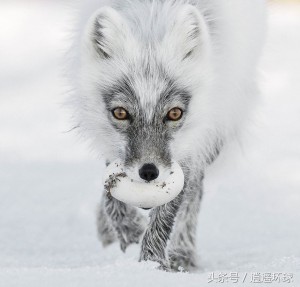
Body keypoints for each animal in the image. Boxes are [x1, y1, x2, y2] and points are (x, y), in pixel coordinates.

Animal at [71, 0, 268, 272]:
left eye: (174, 113)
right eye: (121, 113)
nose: (149, 172)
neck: (151, 19)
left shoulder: (192, 146)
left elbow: (169, 211)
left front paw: (152, 264)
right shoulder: (111, 144)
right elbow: (111, 193)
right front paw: (128, 229)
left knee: (194, 194)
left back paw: (182, 254)